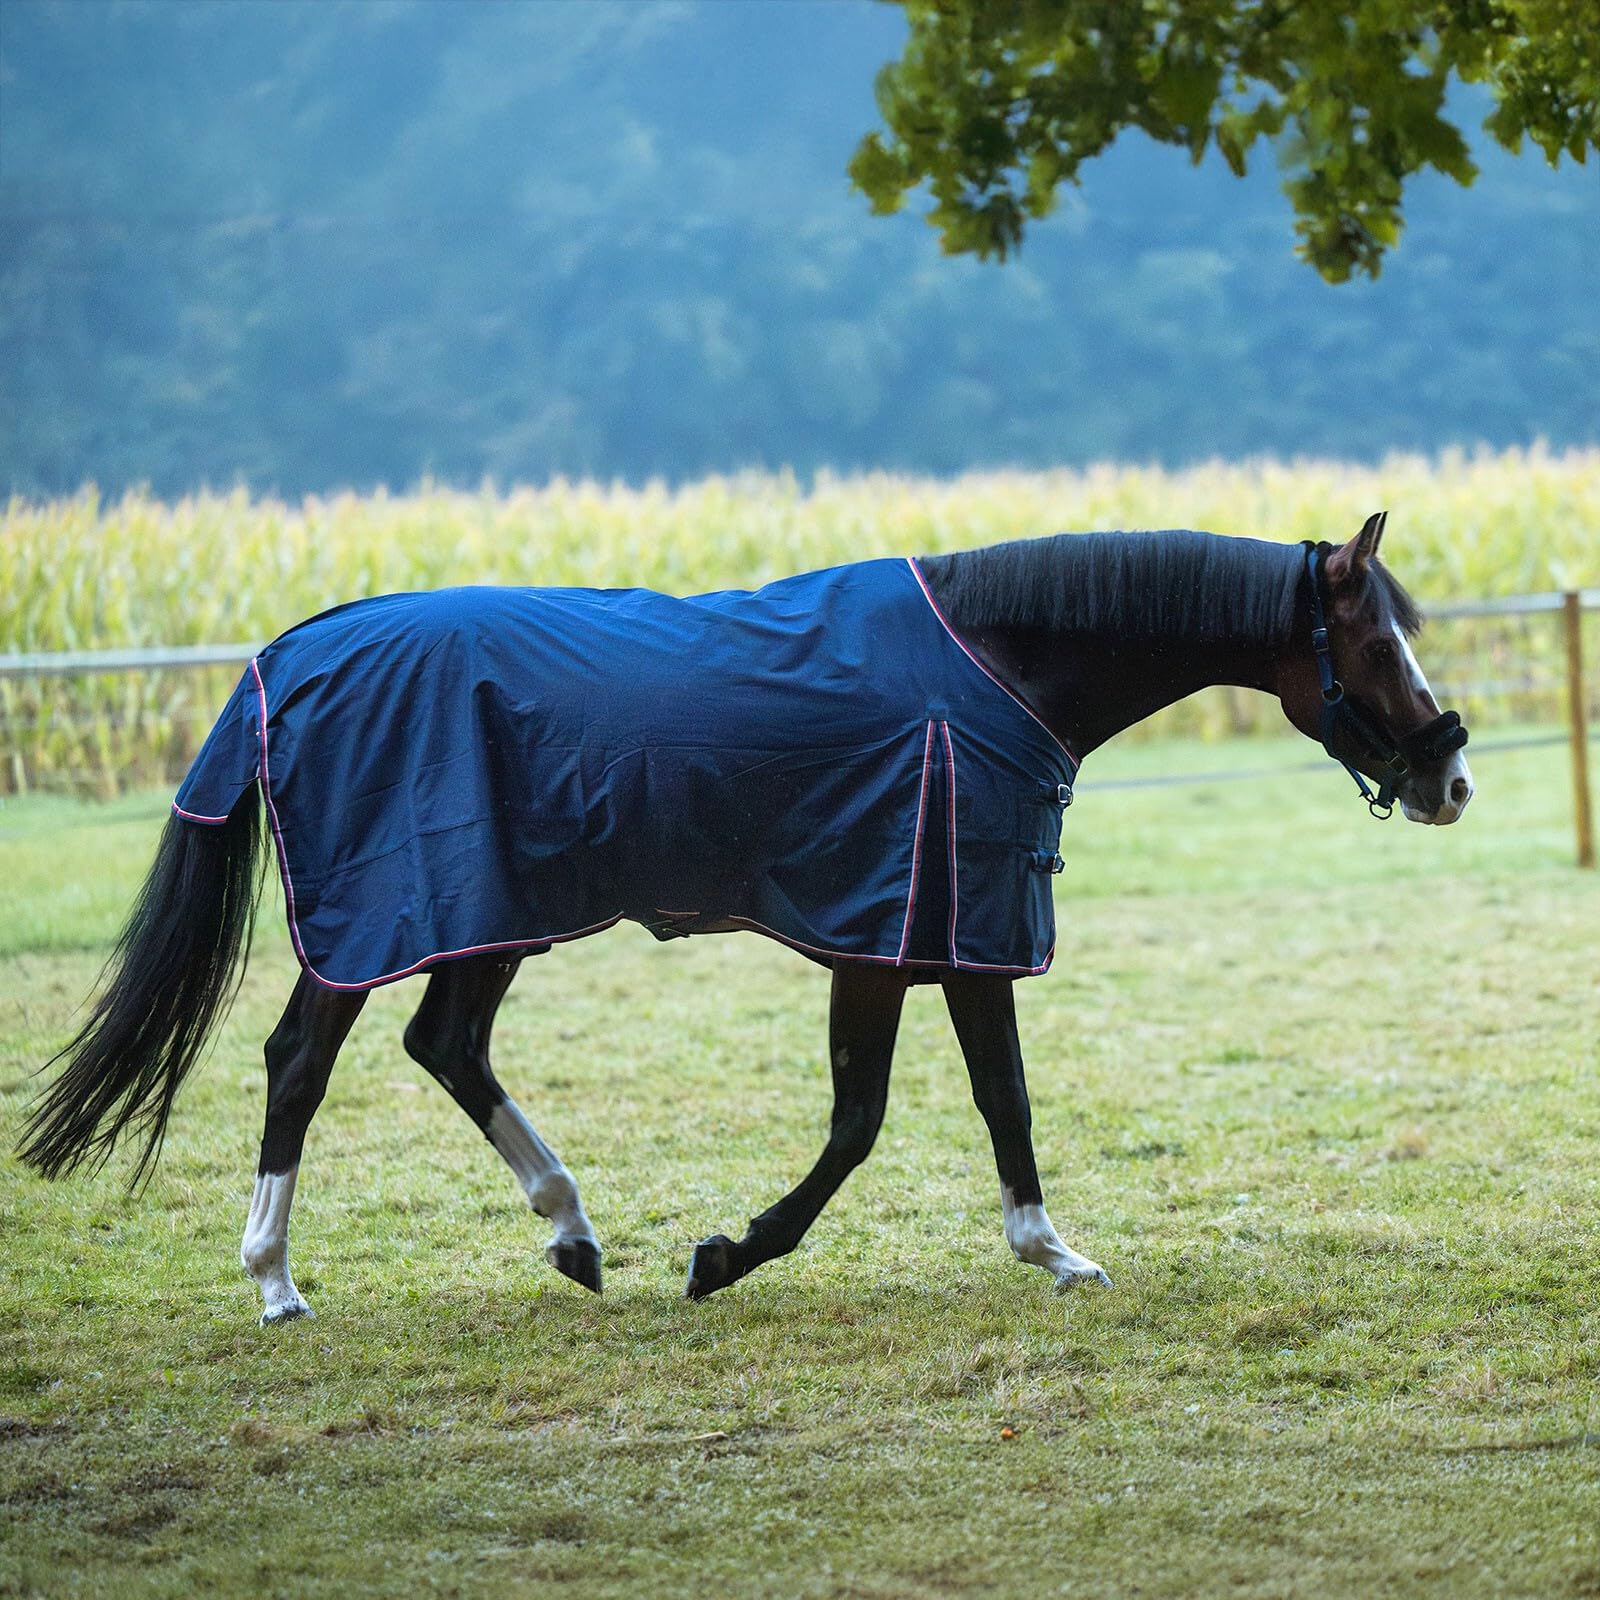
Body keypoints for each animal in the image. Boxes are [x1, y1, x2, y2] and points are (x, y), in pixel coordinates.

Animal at [17, 514, 1472, 1323]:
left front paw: (1049, 1251)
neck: (990, 666)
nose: (1450, 777)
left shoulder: (936, 933)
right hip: (394, 915)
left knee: (446, 1047)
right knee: (299, 1064)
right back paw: (275, 1280)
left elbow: (990, 1099)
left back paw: (571, 1232)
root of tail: (294, 649)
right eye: (1378, 645)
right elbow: (869, 1121)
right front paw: (731, 1255)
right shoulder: (908, 929)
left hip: (492, 920)